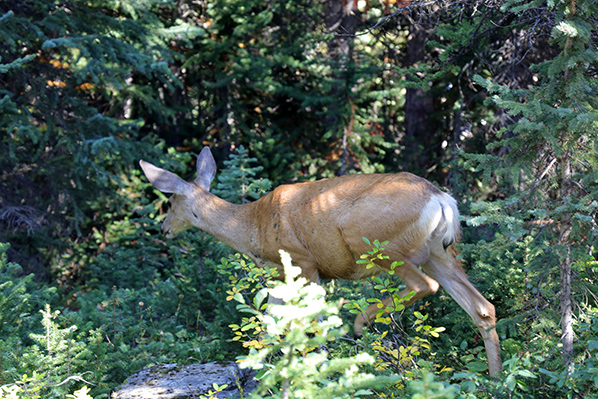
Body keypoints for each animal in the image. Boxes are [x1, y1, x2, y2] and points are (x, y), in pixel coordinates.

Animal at [141, 147, 502, 376]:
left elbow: (309, 320)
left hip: (371, 239)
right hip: (439, 253)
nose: (163, 228)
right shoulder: (283, 274)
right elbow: (272, 321)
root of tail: (442, 199)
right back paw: (495, 380)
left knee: (423, 285)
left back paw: (361, 323)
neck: (254, 227)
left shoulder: (303, 262)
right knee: (483, 307)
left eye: (170, 201)